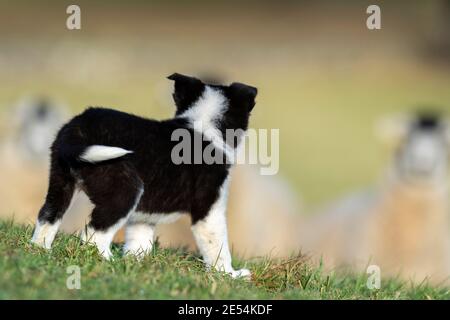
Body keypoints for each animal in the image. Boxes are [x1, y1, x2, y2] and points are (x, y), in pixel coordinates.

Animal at [30, 73, 256, 278]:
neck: (204, 123)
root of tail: (79, 129)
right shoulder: (209, 209)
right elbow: (218, 246)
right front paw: (229, 274)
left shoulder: (146, 212)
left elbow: (140, 240)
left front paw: (136, 263)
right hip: (125, 189)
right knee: (93, 235)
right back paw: (110, 264)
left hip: (61, 179)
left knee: (48, 216)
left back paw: (41, 250)